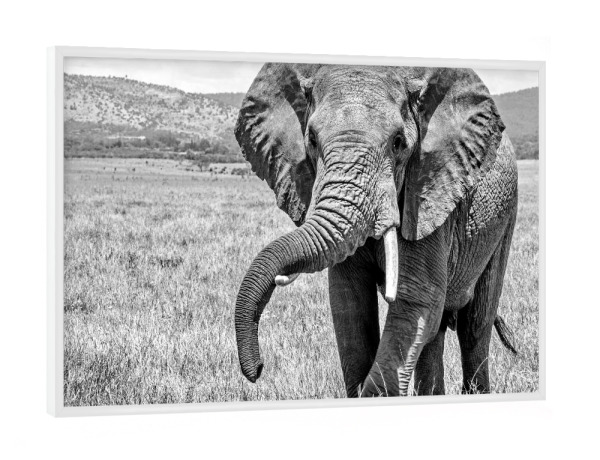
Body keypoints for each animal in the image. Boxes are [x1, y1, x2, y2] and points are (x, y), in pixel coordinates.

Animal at [233, 63, 518, 397]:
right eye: (312, 140)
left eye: (398, 142)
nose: (257, 369)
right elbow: (350, 305)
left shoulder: (427, 196)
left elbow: (415, 299)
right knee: (434, 332)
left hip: (504, 217)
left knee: (474, 324)